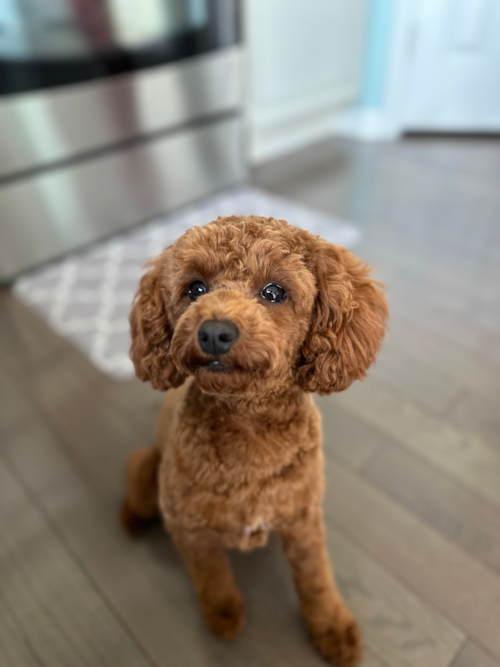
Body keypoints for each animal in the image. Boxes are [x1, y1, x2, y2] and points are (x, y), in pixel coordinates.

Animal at [120, 217, 386, 664]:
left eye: (274, 292)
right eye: (195, 288)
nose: (214, 332)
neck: (248, 425)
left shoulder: (302, 518)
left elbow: (316, 578)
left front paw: (332, 628)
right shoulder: (187, 527)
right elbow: (211, 575)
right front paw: (224, 615)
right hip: (146, 474)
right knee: (135, 476)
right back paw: (130, 521)